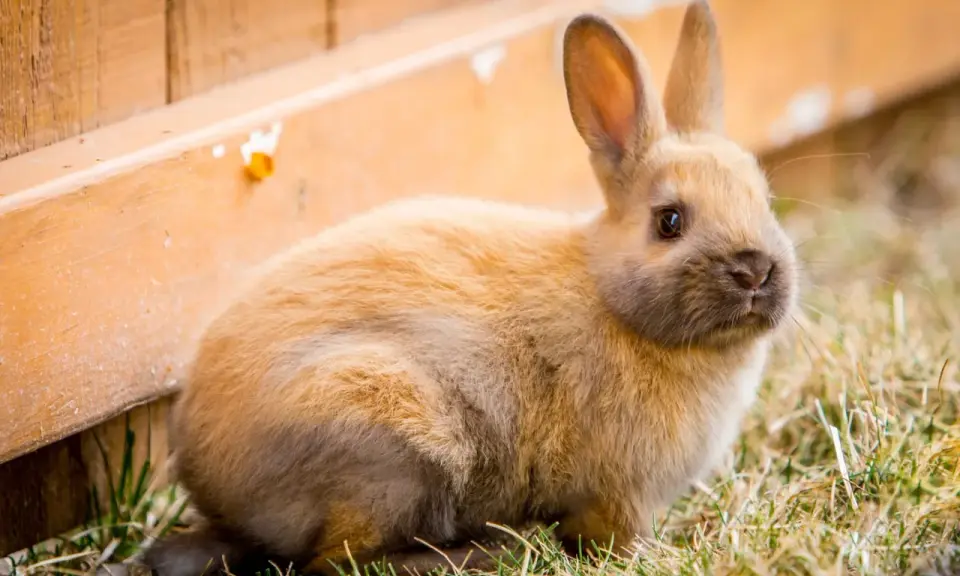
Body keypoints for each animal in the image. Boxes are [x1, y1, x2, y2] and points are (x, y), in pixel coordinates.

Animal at [143, 1, 798, 575]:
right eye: (669, 221)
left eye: (764, 199)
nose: (755, 270)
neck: (613, 299)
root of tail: (211, 480)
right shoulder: (620, 493)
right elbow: (616, 535)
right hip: (395, 452)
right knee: (336, 562)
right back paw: (484, 552)